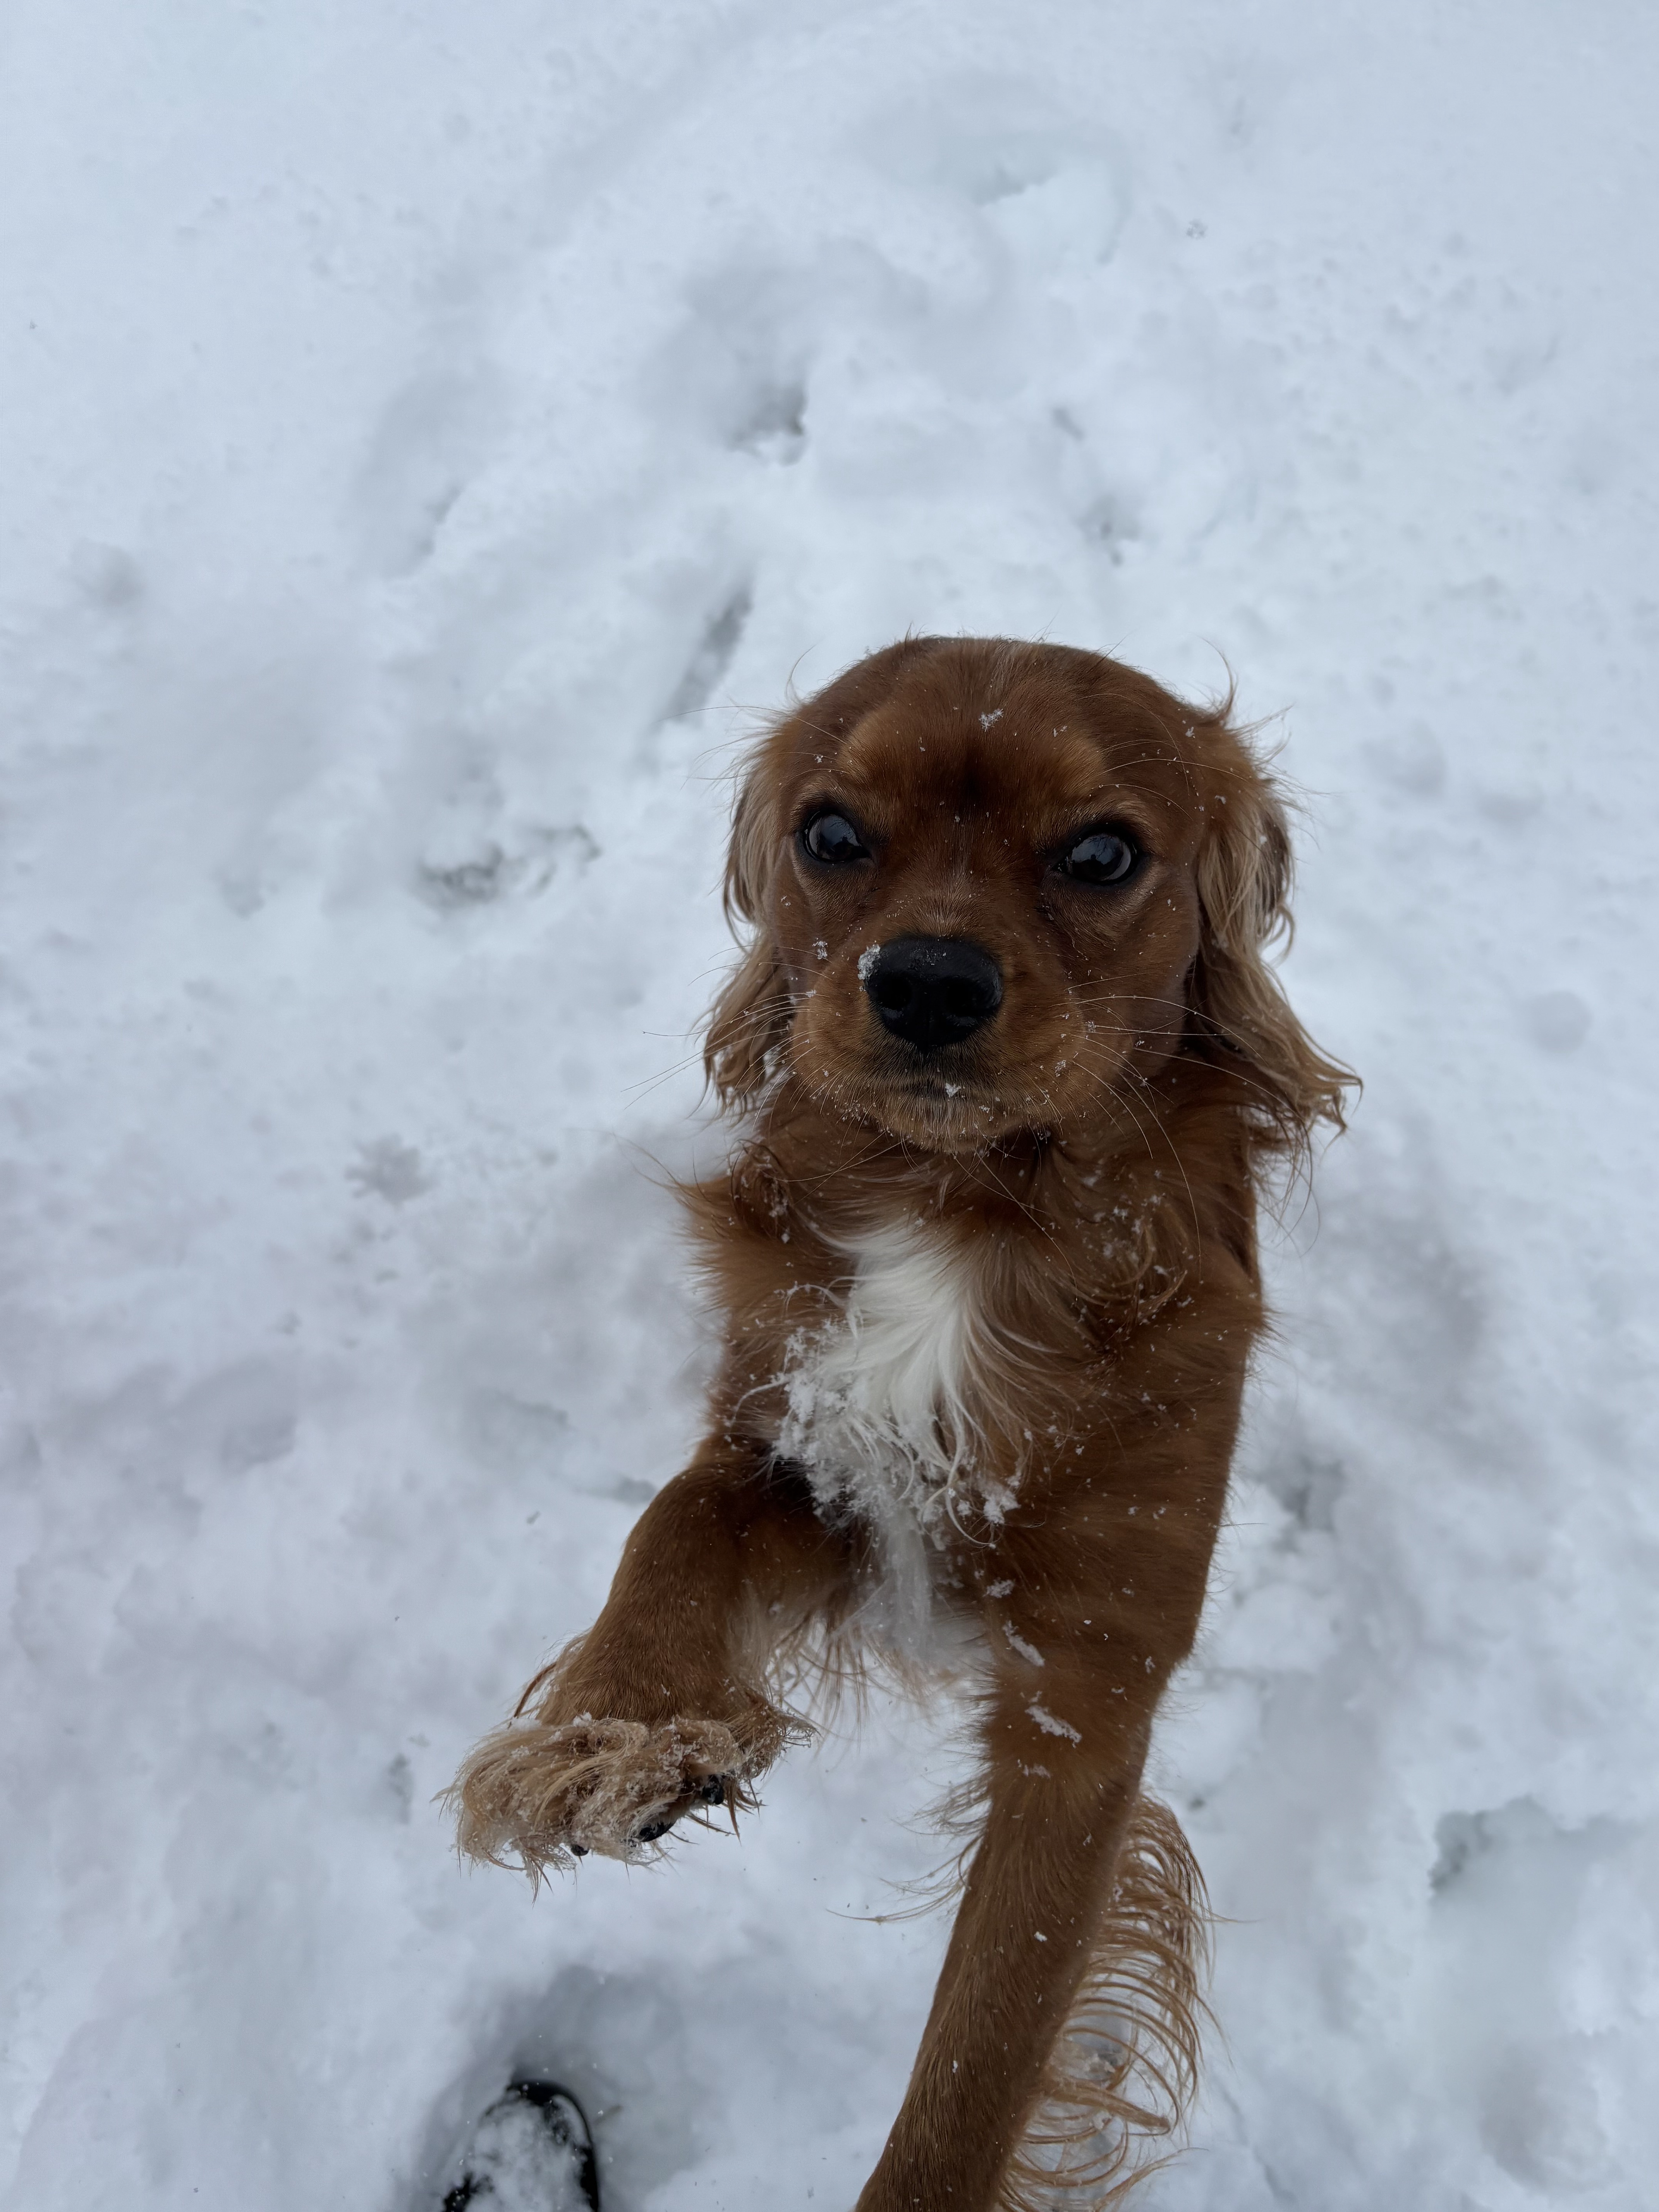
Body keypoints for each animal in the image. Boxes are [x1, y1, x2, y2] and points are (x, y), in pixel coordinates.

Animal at [451, 641, 1353, 2212]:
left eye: (1102, 852)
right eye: (828, 833)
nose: (926, 978)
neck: (970, 1205)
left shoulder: (1085, 1704)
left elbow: (979, 2057)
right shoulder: (810, 1466)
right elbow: (674, 1514)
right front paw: (619, 1727)